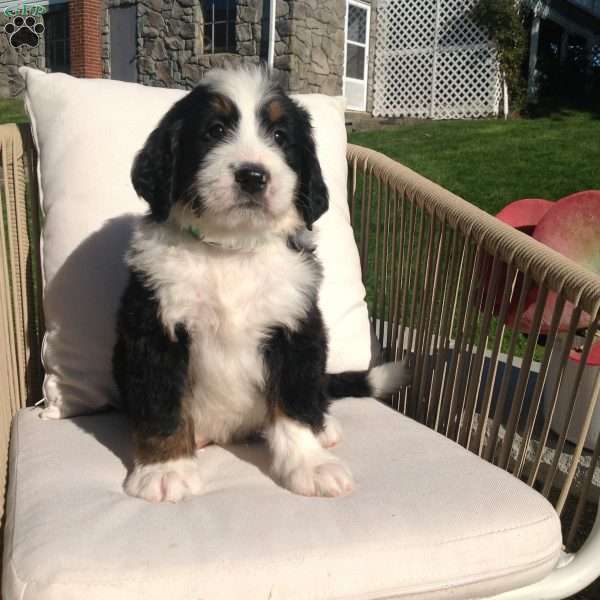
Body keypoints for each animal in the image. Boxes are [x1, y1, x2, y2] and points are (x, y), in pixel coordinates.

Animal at [113, 68, 408, 504]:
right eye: (215, 130)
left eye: (281, 136)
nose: (253, 175)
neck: (232, 249)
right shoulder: (155, 329)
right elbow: (162, 403)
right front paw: (166, 469)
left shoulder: (296, 328)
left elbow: (294, 400)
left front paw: (310, 464)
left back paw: (325, 428)